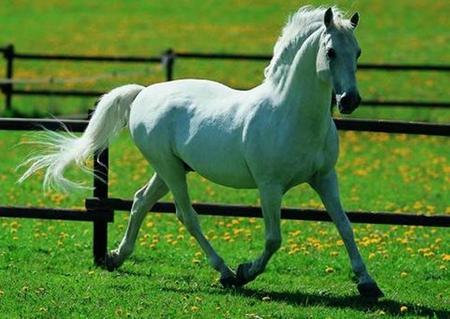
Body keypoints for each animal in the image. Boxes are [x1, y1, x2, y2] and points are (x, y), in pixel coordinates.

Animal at [20, 6, 384, 298]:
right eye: (331, 51)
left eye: (358, 52)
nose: (350, 101)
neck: (289, 114)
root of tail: (143, 93)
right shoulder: (270, 186)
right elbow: (273, 238)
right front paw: (245, 272)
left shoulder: (324, 178)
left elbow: (344, 225)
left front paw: (368, 284)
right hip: (170, 169)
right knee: (186, 215)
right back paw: (225, 272)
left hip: (169, 169)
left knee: (140, 201)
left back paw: (115, 257)